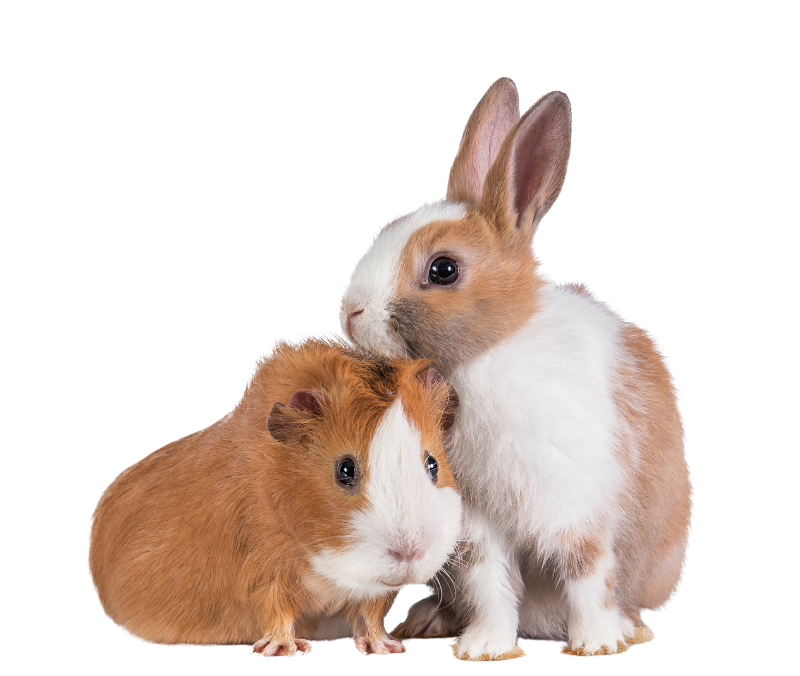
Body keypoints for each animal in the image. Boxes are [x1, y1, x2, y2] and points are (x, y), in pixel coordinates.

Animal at [86, 331, 462, 657]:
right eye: (345, 469)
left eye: (433, 464)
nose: (410, 551)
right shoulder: (262, 569)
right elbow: (275, 609)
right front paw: (286, 649)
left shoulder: (372, 592)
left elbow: (370, 613)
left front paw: (383, 647)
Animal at [338, 77, 695, 660]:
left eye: (443, 269)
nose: (349, 313)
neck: (481, 360)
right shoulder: (477, 528)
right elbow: (492, 585)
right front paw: (483, 647)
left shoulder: (575, 509)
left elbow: (587, 576)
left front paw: (597, 644)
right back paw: (428, 623)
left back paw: (628, 628)